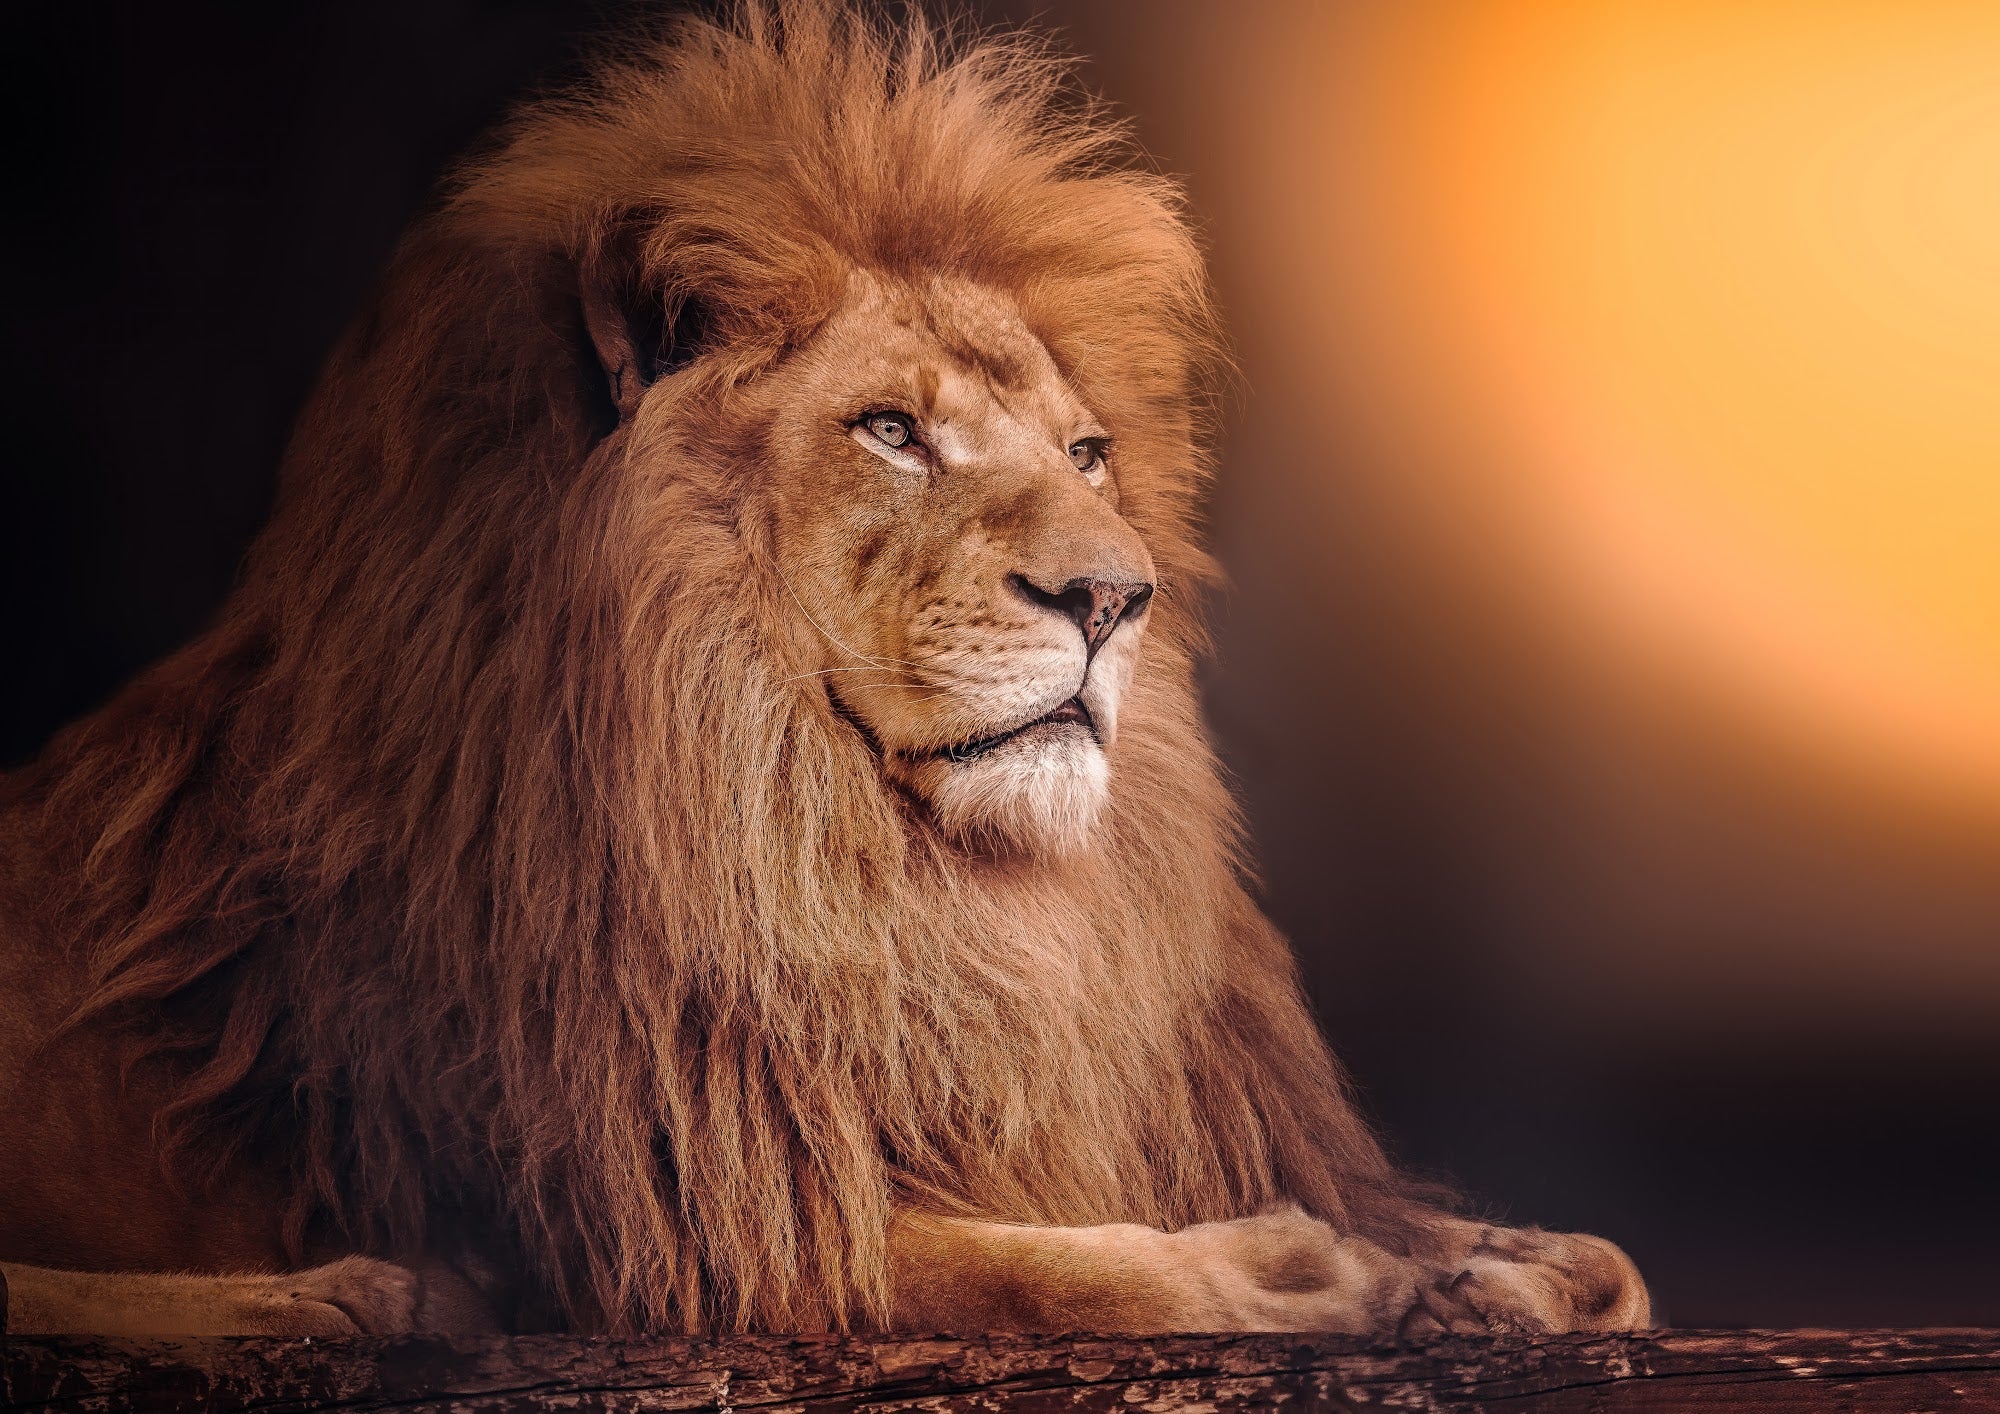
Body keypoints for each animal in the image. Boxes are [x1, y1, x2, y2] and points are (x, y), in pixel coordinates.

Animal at [0, 1, 1650, 1338]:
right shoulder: (670, 1210)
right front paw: (1300, 1271)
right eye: (893, 431)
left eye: (1087, 453)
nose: (1114, 594)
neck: (854, 848)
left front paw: (1514, 1264)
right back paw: (353, 1297)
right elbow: (1033, 1264)